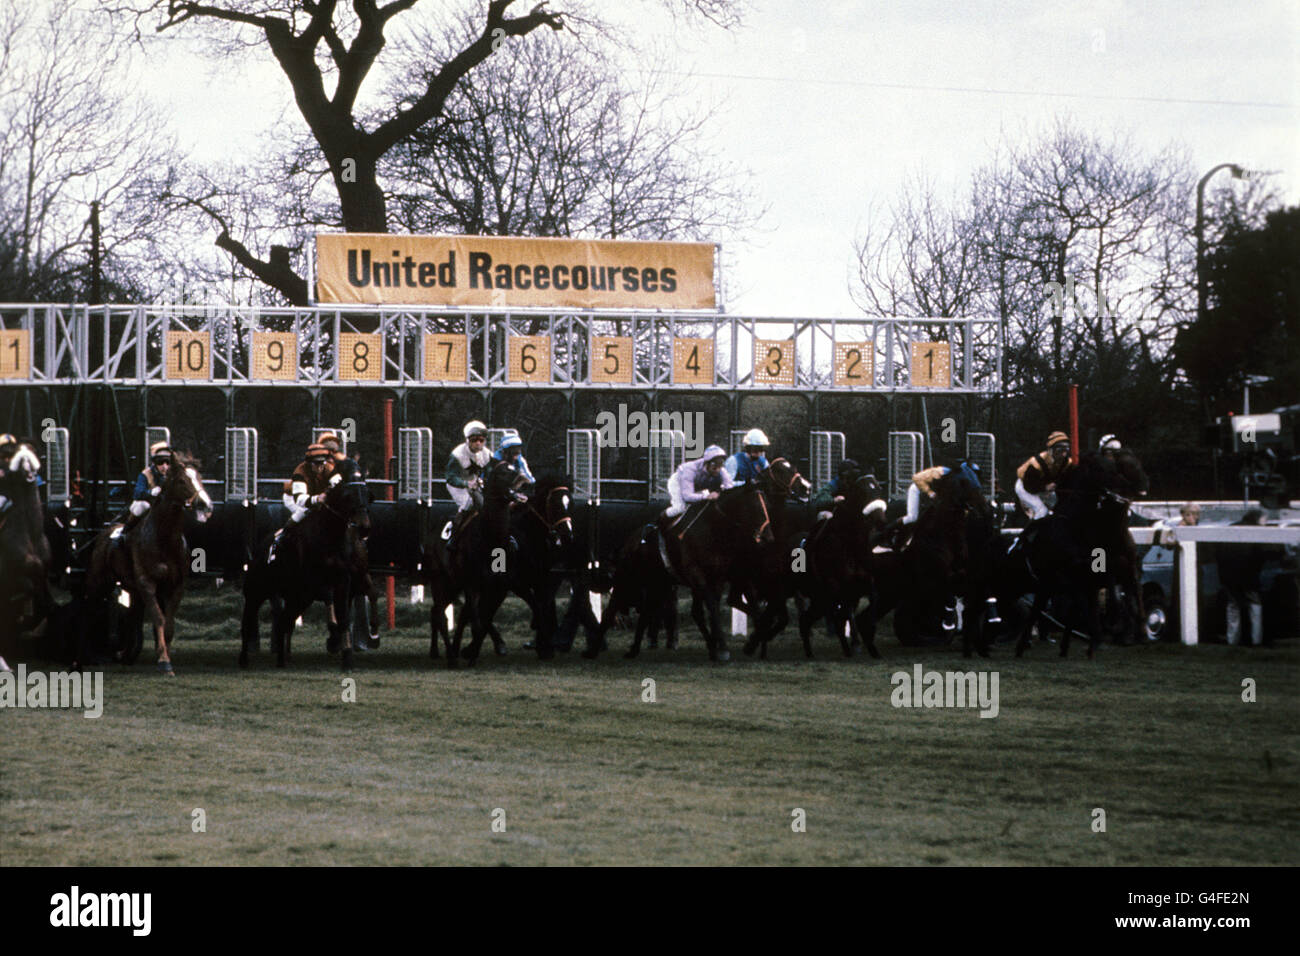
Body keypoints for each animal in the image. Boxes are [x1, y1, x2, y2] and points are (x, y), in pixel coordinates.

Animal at [85, 455, 210, 671]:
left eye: (199, 478)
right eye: (182, 481)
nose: (204, 504)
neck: (164, 539)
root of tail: (104, 533)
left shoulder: (176, 586)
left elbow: (169, 623)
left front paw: (164, 654)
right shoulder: (147, 583)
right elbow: (159, 618)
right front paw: (164, 661)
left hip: (131, 588)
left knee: (131, 617)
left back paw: (125, 655)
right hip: (98, 581)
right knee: (90, 609)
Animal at [239, 457, 369, 671]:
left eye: (367, 493)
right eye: (348, 495)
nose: (364, 527)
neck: (330, 535)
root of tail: (257, 551)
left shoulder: (343, 580)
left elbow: (343, 618)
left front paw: (347, 658)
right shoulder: (315, 582)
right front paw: (333, 640)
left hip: (296, 596)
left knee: (284, 621)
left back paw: (281, 659)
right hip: (256, 591)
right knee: (248, 622)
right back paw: (244, 659)